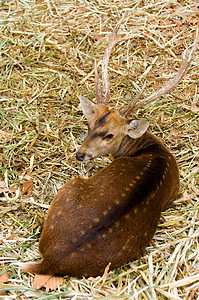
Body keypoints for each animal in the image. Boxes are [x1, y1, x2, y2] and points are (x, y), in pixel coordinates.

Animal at [20, 21, 197, 278]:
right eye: (89, 125)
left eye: (110, 135)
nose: (80, 154)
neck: (153, 150)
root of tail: (51, 261)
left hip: (72, 185)